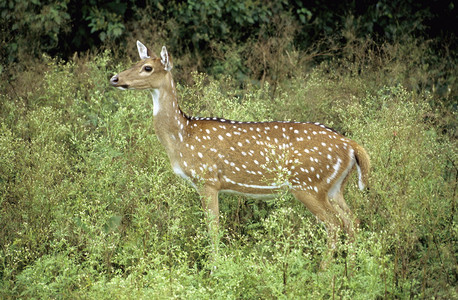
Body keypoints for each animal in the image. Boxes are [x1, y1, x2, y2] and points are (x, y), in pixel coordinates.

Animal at [110, 39, 368, 254]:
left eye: (147, 68)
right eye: (135, 62)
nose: (114, 78)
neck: (183, 136)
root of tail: (351, 145)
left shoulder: (207, 180)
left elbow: (213, 230)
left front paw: (215, 270)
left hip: (308, 184)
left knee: (334, 225)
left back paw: (325, 273)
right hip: (334, 187)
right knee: (352, 221)